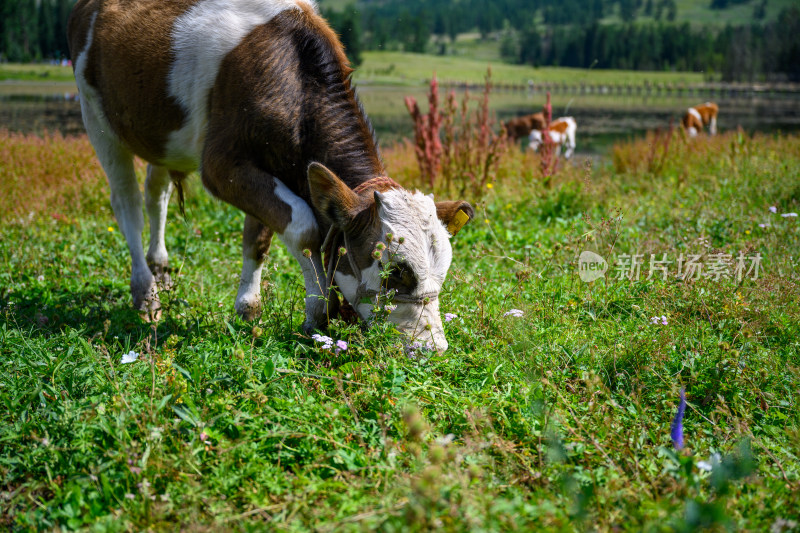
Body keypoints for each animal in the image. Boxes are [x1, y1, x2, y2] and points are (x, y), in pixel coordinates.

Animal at [69, 0, 472, 352]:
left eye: (443, 271)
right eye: (394, 272)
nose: (432, 349)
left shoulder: (269, 167)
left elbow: (257, 239)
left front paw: (248, 308)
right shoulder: (221, 165)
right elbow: (304, 228)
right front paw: (316, 312)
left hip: (165, 138)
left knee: (157, 194)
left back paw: (161, 270)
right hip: (97, 118)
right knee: (128, 204)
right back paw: (145, 292)